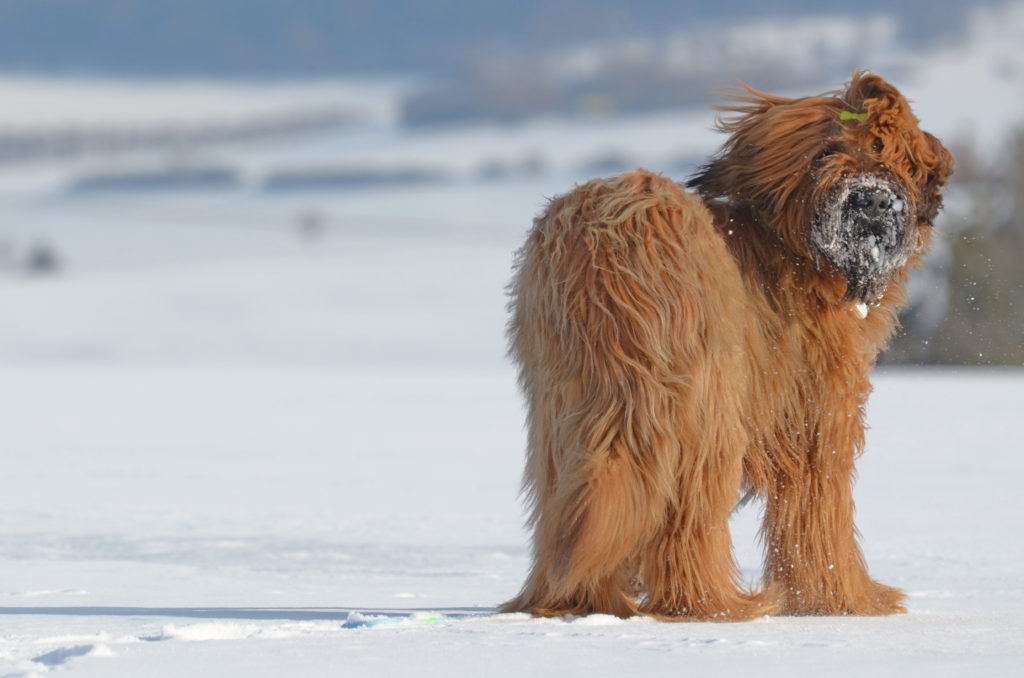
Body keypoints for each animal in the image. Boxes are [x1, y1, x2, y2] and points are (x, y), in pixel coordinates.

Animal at [501, 73, 950, 622]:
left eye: (889, 152)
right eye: (829, 151)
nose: (872, 201)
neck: (793, 248)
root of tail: (612, 238)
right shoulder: (818, 415)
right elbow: (821, 511)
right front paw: (845, 600)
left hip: (567, 398)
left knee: (571, 496)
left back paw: (574, 597)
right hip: (703, 401)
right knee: (690, 513)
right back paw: (712, 603)